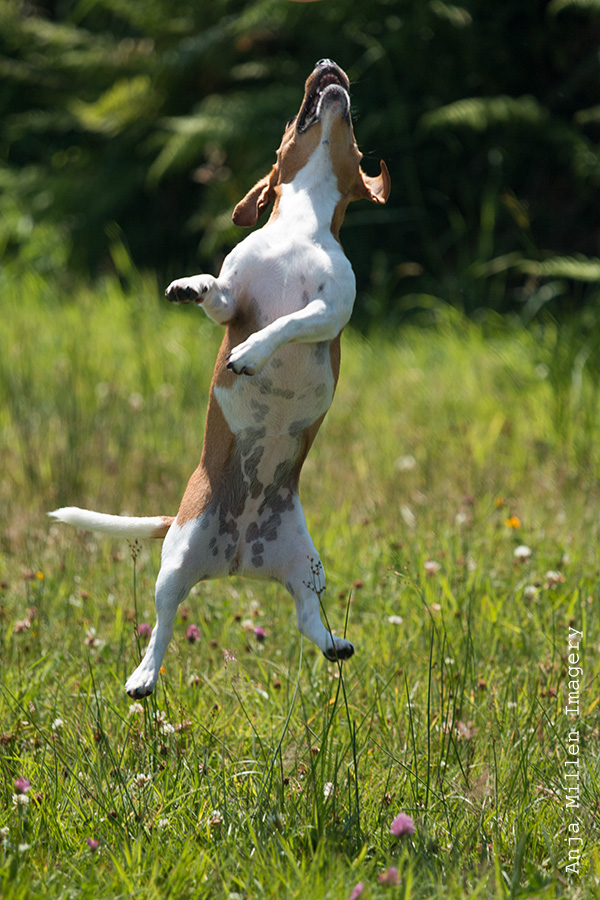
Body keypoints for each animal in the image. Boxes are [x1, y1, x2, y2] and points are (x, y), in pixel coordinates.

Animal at [50, 59, 390, 700]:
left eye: (355, 138)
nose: (329, 66)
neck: (298, 229)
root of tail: (238, 557)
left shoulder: (331, 310)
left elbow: (293, 321)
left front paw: (254, 353)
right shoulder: (236, 300)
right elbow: (220, 294)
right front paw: (192, 286)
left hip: (306, 562)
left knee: (307, 615)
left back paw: (334, 642)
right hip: (179, 558)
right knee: (162, 623)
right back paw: (143, 676)